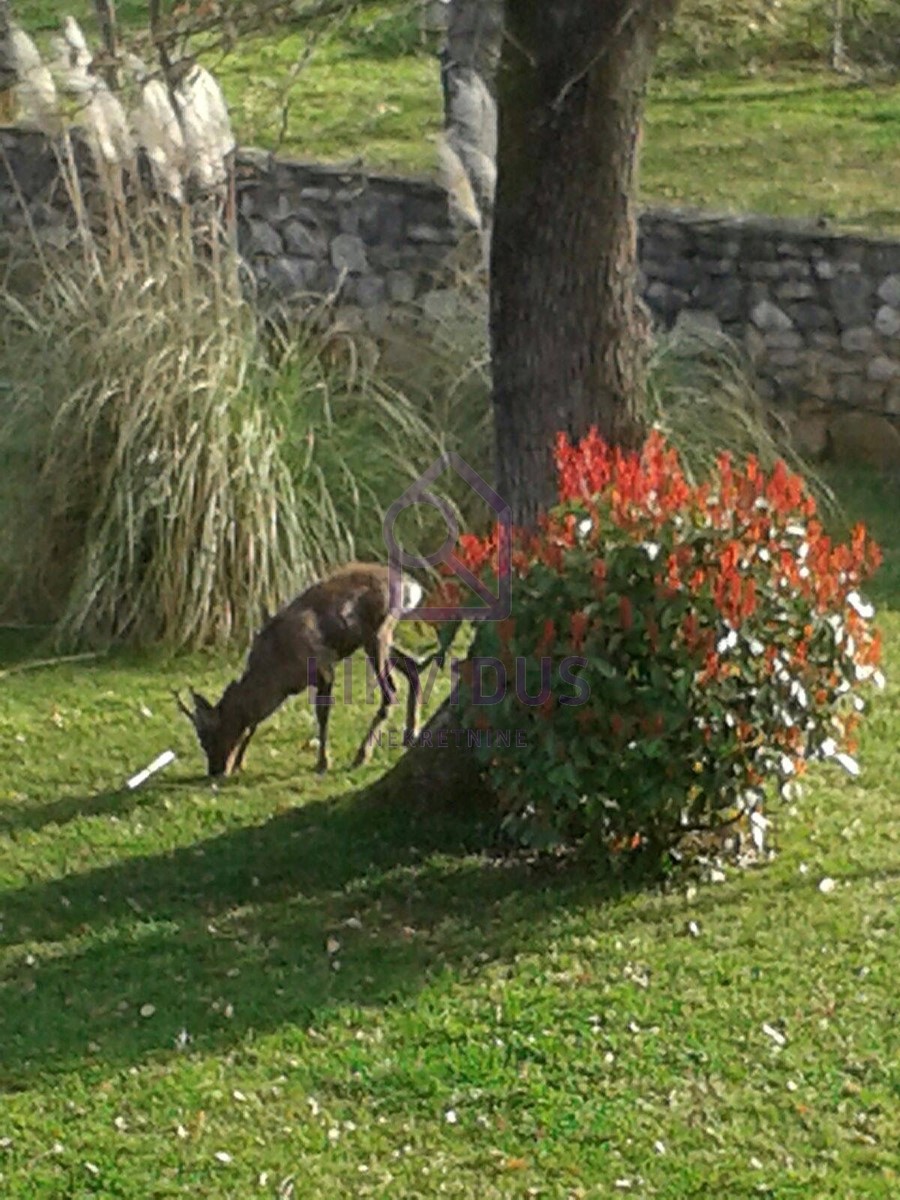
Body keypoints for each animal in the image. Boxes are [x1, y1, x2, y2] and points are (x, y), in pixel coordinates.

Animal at [177, 561, 434, 777]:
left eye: (208, 737)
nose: (215, 771)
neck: (276, 674)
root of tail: (411, 586)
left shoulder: (323, 669)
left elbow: (321, 714)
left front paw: (323, 762)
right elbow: (255, 721)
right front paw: (241, 762)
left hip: (378, 633)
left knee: (390, 691)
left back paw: (362, 755)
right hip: (374, 638)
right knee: (412, 666)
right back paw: (410, 733)